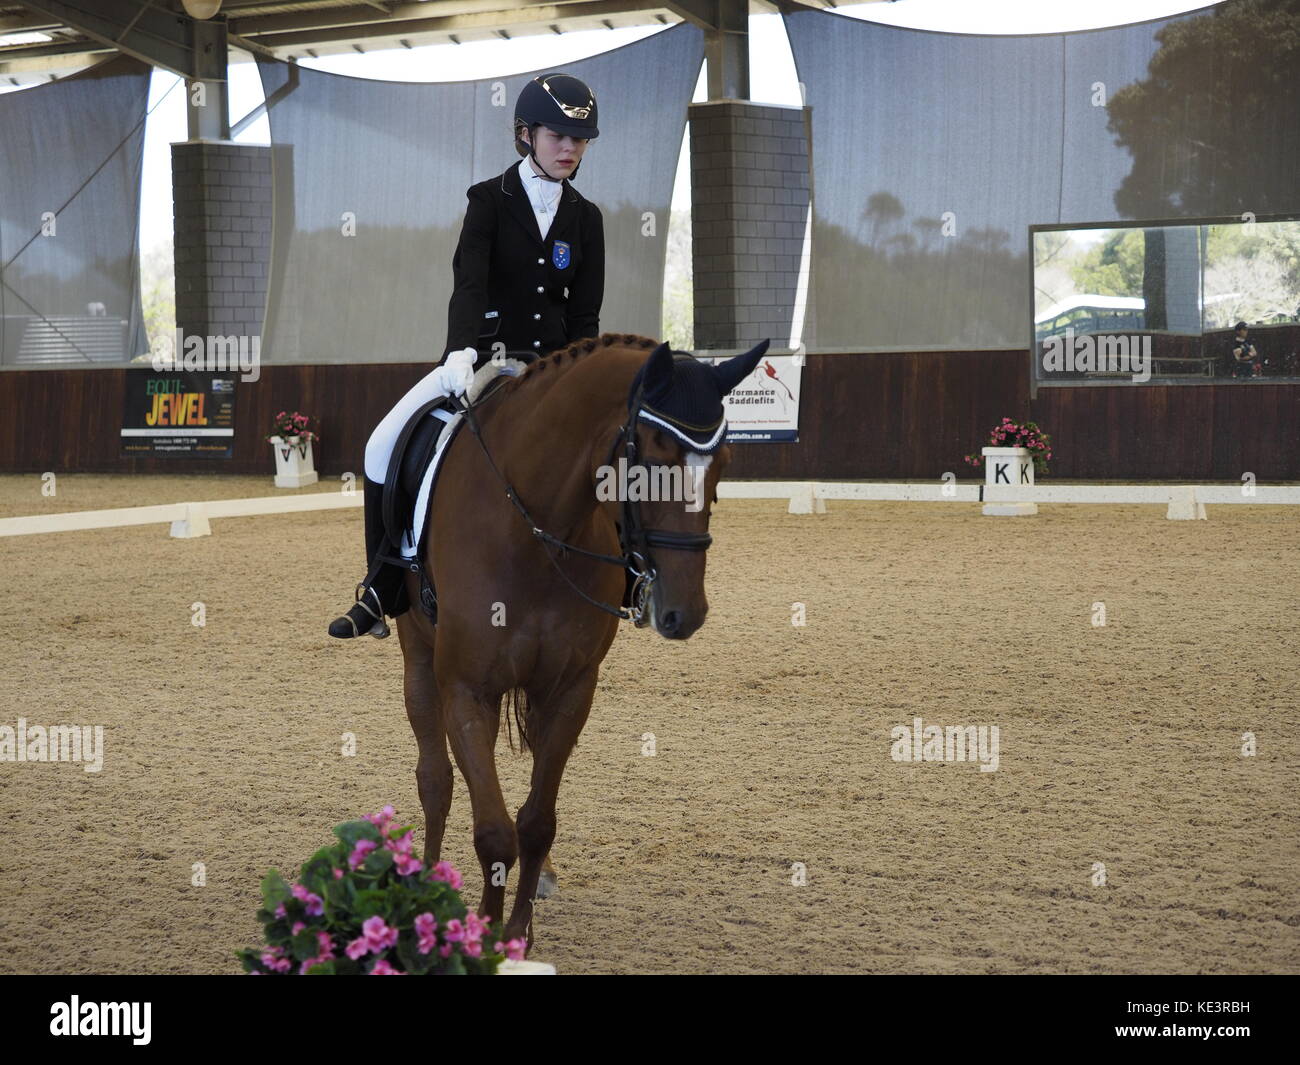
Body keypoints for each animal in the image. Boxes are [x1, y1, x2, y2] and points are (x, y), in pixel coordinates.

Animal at [390, 328, 764, 946]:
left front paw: (518, 932)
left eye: (725, 463)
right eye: (653, 458)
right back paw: (424, 880)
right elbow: (493, 830)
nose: (684, 612)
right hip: (418, 656)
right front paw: (486, 936)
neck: (536, 532)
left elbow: (537, 822)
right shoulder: (467, 690)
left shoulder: (570, 690)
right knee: (434, 780)